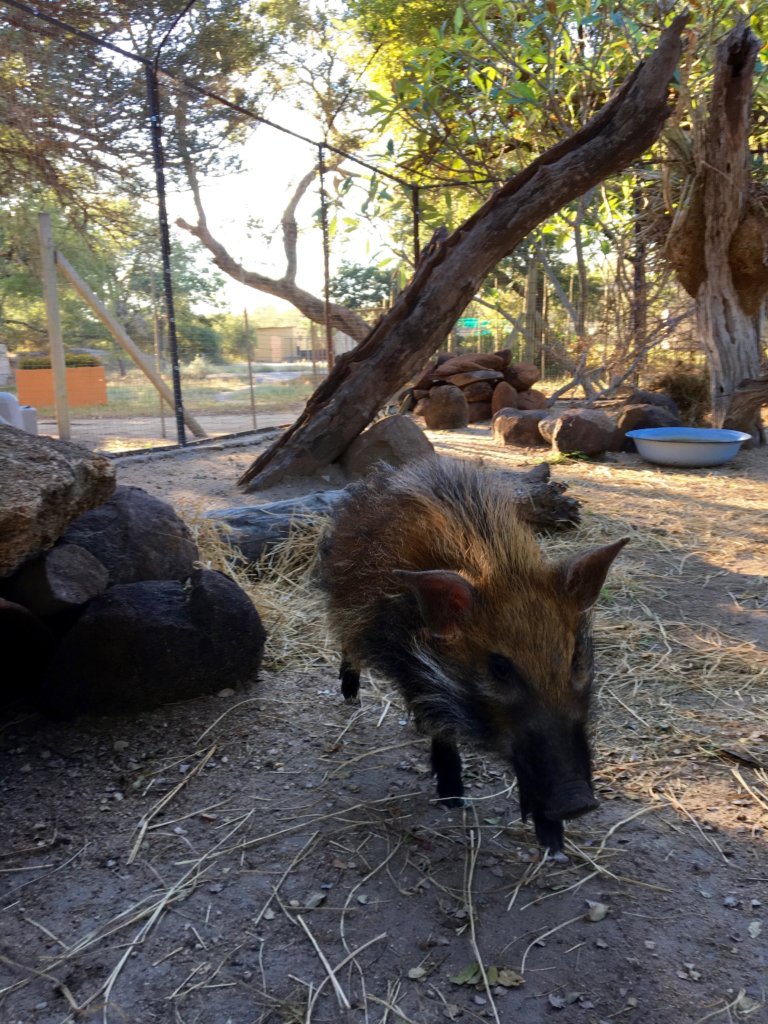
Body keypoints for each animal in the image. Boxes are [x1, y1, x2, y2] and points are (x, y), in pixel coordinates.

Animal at [316, 455, 628, 853]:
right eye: (499, 668)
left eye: (575, 659)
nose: (578, 802)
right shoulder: (411, 668)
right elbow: (440, 728)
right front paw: (452, 798)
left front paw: (553, 843)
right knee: (346, 644)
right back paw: (350, 694)